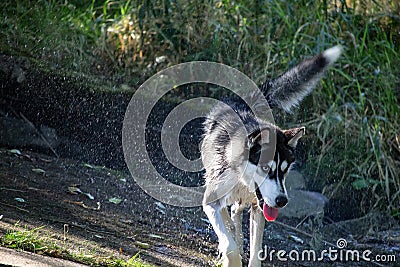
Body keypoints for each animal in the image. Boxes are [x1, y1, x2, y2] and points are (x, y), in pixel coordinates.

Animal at [200, 46, 340, 267]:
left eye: (284, 171)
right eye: (265, 168)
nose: (282, 201)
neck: (241, 178)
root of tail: (243, 102)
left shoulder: (260, 208)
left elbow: (255, 250)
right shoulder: (211, 201)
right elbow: (229, 245)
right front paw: (231, 257)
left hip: (245, 202)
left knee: (235, 213)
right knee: (229, 219)